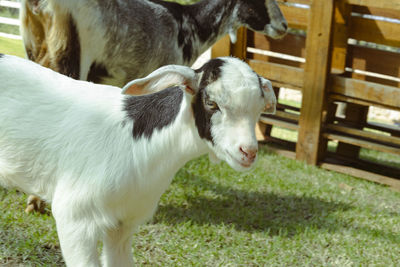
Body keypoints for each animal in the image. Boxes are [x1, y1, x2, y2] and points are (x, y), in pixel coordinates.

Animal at [0, 53, 276, 266]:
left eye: (260, 108)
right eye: (211, 102)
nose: (248, 152)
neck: (139, 143)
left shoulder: (122, 225)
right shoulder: (74, 217)